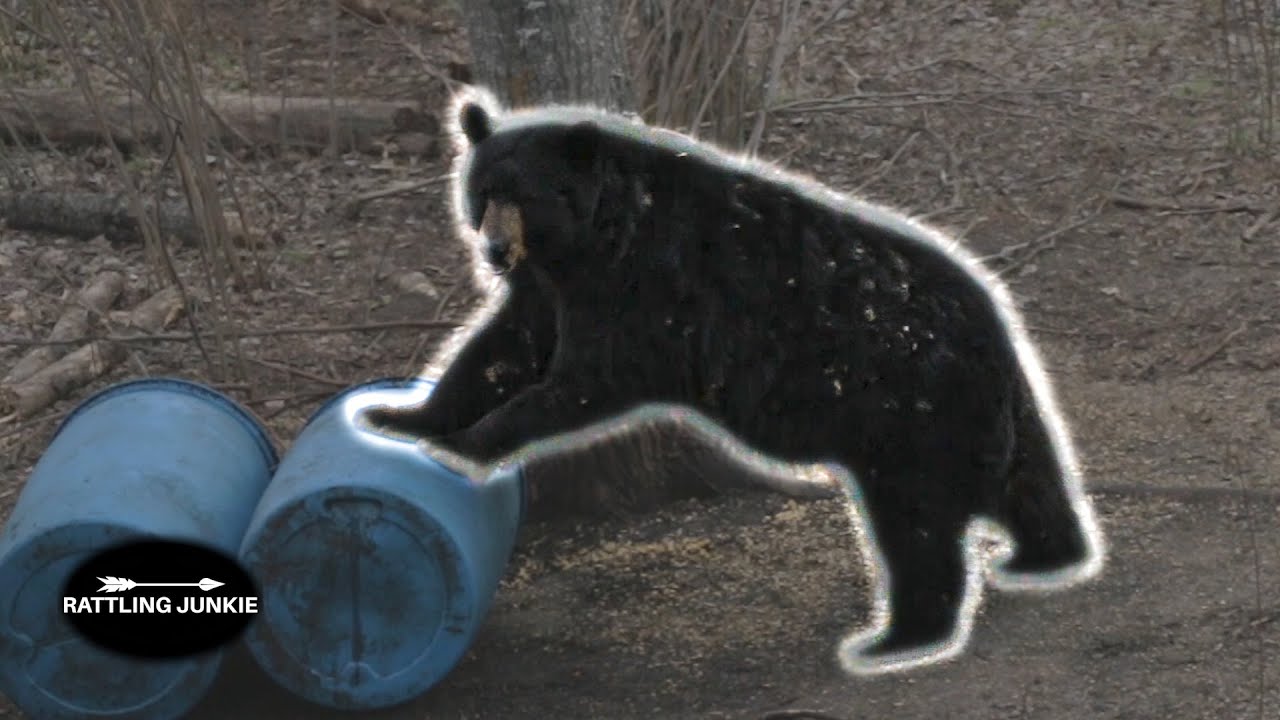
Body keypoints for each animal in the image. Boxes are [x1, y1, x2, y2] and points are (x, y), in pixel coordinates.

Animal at [359, 86, 1106, 675]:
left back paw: (895, 637)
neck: (588, 244)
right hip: (978, 411)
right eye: (483, 191)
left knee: (917, 527)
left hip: (906, 413)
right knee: (1030, 482)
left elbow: (585, 376)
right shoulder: (549, 289)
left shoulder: (645, 288)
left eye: (528, 197)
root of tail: (993, 319)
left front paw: (471, 442)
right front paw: (398, 416)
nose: (493, 249)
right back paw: (1046, 556)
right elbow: (497, 350)